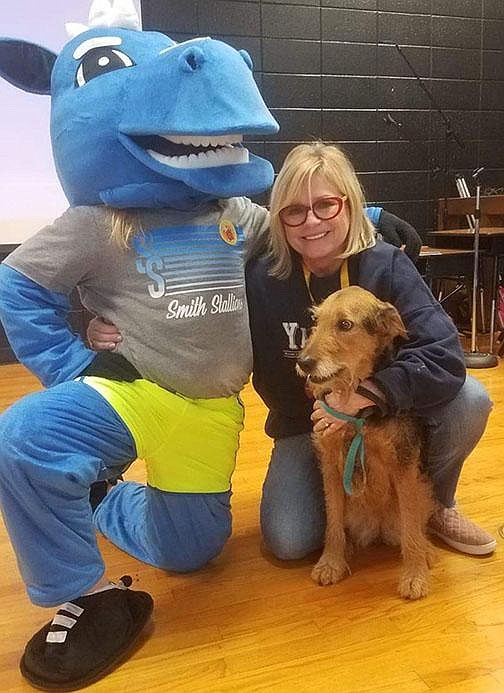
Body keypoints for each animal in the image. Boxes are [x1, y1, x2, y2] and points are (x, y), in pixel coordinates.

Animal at [298, 284, 436, 596]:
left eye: (345, 325)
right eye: (316, 321)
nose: (304, 362)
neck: (359, 415)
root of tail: (377, 529)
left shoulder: (404, 466)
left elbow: (411, 526)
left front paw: (414, 576)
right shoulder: (331, 465)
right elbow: (333, 522)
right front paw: (331, 562)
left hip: (423, 488)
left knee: (415, 527)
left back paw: (427, 551)